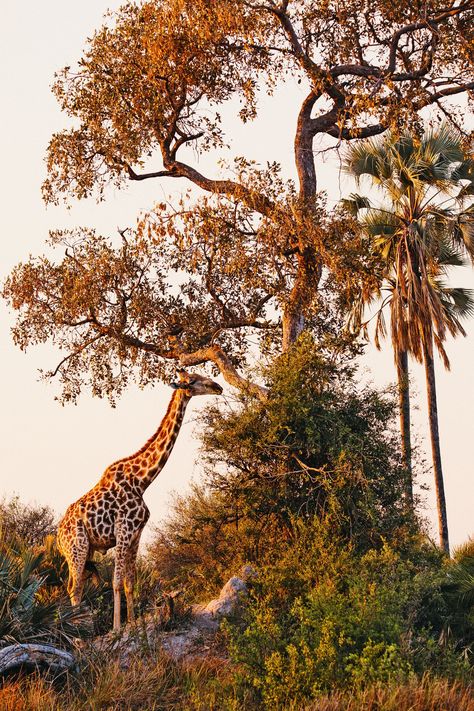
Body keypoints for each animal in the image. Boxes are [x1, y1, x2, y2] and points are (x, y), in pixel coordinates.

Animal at [56, 370, 223, 632]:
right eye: (193, 381)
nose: (218, 387)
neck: (143, 480)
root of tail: (57, 537)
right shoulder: (124, 530)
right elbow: (115, 582)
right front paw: (116, 628)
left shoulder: (136, 535)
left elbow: (129, 583)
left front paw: (133, 624)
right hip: (77, 547)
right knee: (74, 588)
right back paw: (78, 634)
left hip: (83, 550)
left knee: (74, 585)